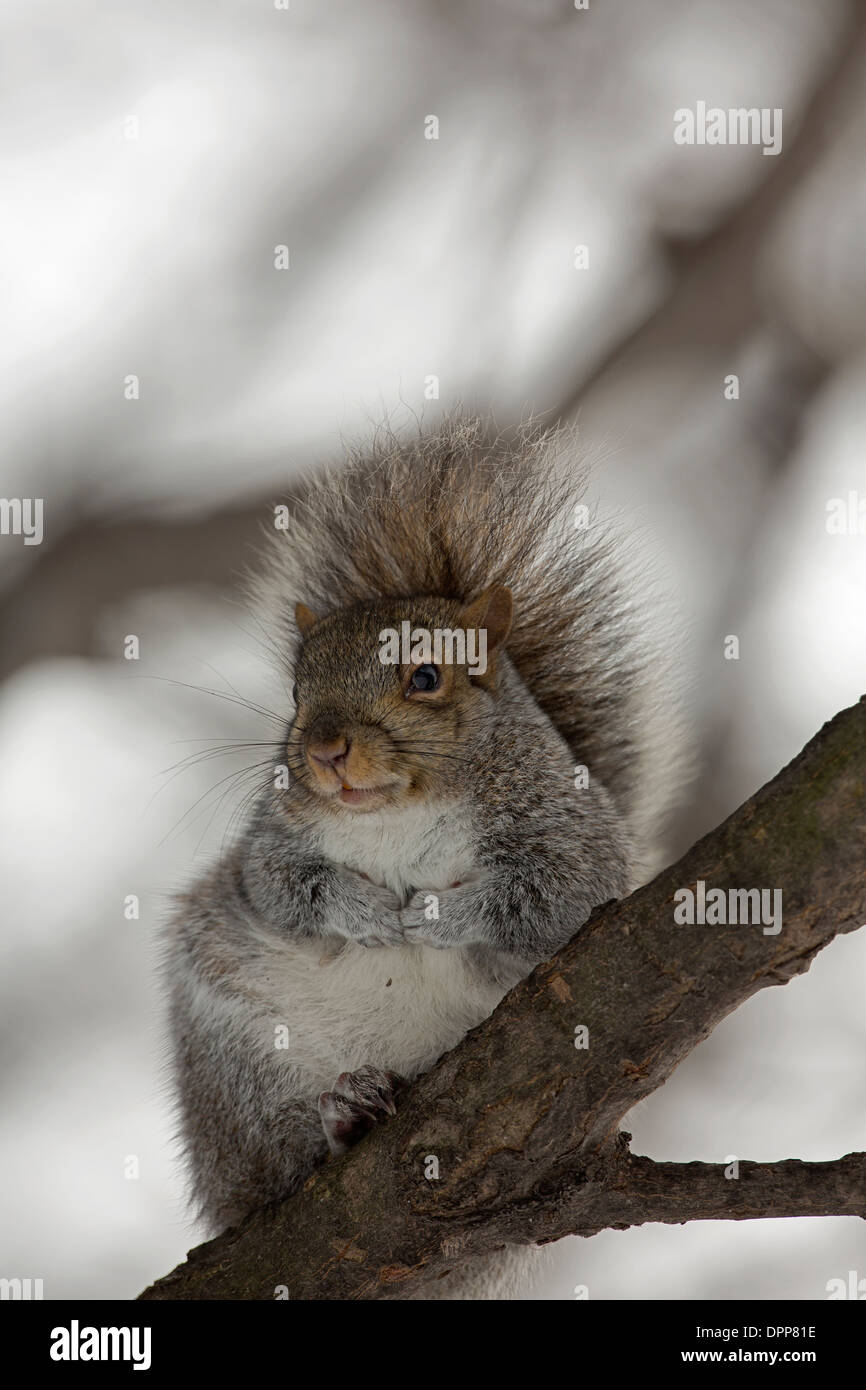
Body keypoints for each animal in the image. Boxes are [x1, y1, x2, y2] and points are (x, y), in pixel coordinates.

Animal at [162, 417, 683, 1295]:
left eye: (428, 677)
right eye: (296, 694)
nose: (326, 749)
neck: (394, 814)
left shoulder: (573, 841)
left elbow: (551, 899)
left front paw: (435, 913)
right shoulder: (269, 845)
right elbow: (281, 889)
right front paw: (367, 909)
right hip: (236, 1058)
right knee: (267, 1165)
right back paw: (337, 1122)